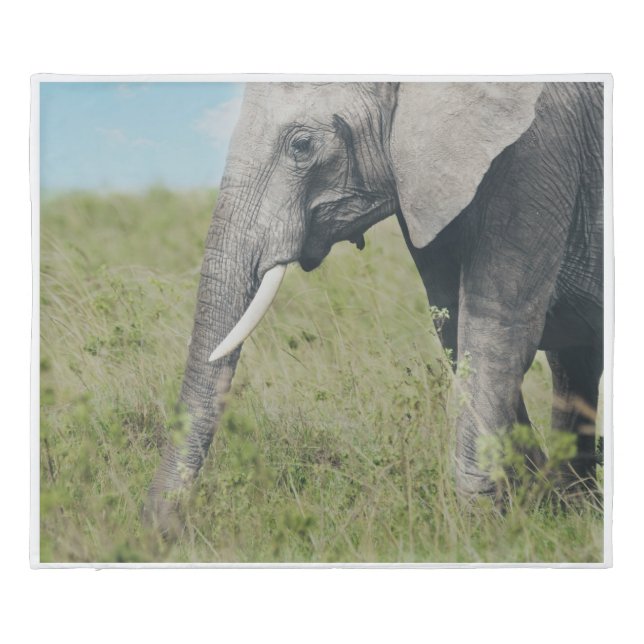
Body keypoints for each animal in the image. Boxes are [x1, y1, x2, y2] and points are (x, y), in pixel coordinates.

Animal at [145, 81, 604, 530]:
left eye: (302, 146)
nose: (163, 533)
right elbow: (454, 325)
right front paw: (530, 500)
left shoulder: (537, 153)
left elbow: (496, 328)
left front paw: (481, 526)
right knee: (574, 366)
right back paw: (575, 501)